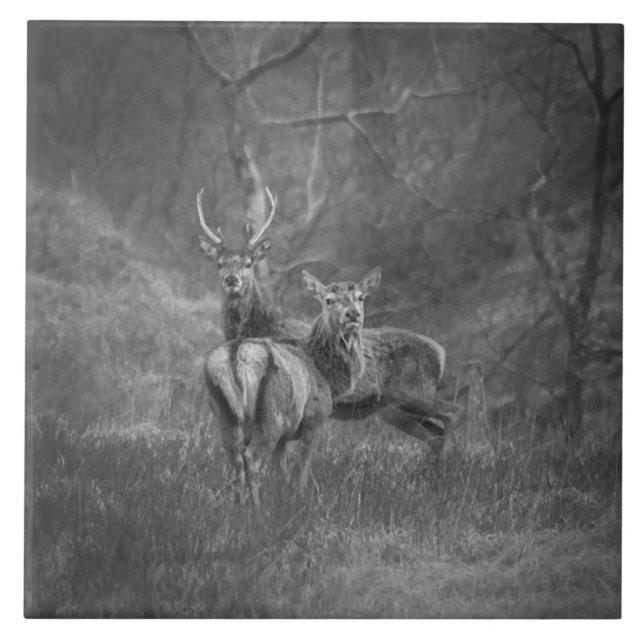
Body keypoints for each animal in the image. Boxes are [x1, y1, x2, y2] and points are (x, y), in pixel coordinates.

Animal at [197, 188, 458, 446]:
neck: (258, 327)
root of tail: (441, 352)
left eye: (248, 263)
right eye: (219, 263)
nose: (231, 279)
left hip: (416, 394)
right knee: (435, 435)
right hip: (395, 410)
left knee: (451, 415)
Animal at [203, 266, 380, 506]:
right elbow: (300, 471)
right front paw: (299, 498)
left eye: (360, 297)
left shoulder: (283, 439)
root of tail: (237, 355)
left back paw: (239, 503)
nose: (352, 314)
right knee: (251, 458)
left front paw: (284, 496)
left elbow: (281, 472)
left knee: (235, 459)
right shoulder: (314, 420)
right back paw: (256, 506)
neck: (327, 377)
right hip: (271, 415)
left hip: (224, 416)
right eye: (328, 300)